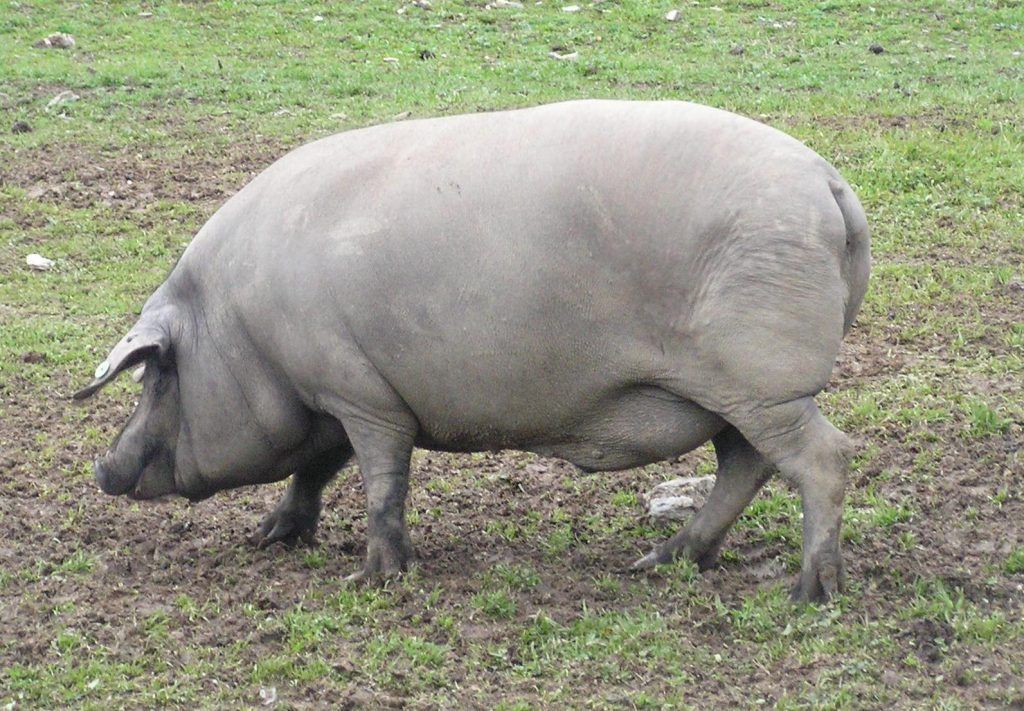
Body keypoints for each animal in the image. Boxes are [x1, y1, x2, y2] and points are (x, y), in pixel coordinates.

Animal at [74, 100, 869, 601]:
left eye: (157, 378)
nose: (102, 468)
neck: (239, 329)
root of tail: (829, 183)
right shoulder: (335, 396)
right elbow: (315, 468)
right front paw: (267, 537)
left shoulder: (360, 392)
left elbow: (380, 479)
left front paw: (373, 577)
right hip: (736, 393)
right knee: (745, 466)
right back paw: (658, 562)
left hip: (763, 381)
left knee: (821, 457)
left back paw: (810, 594)